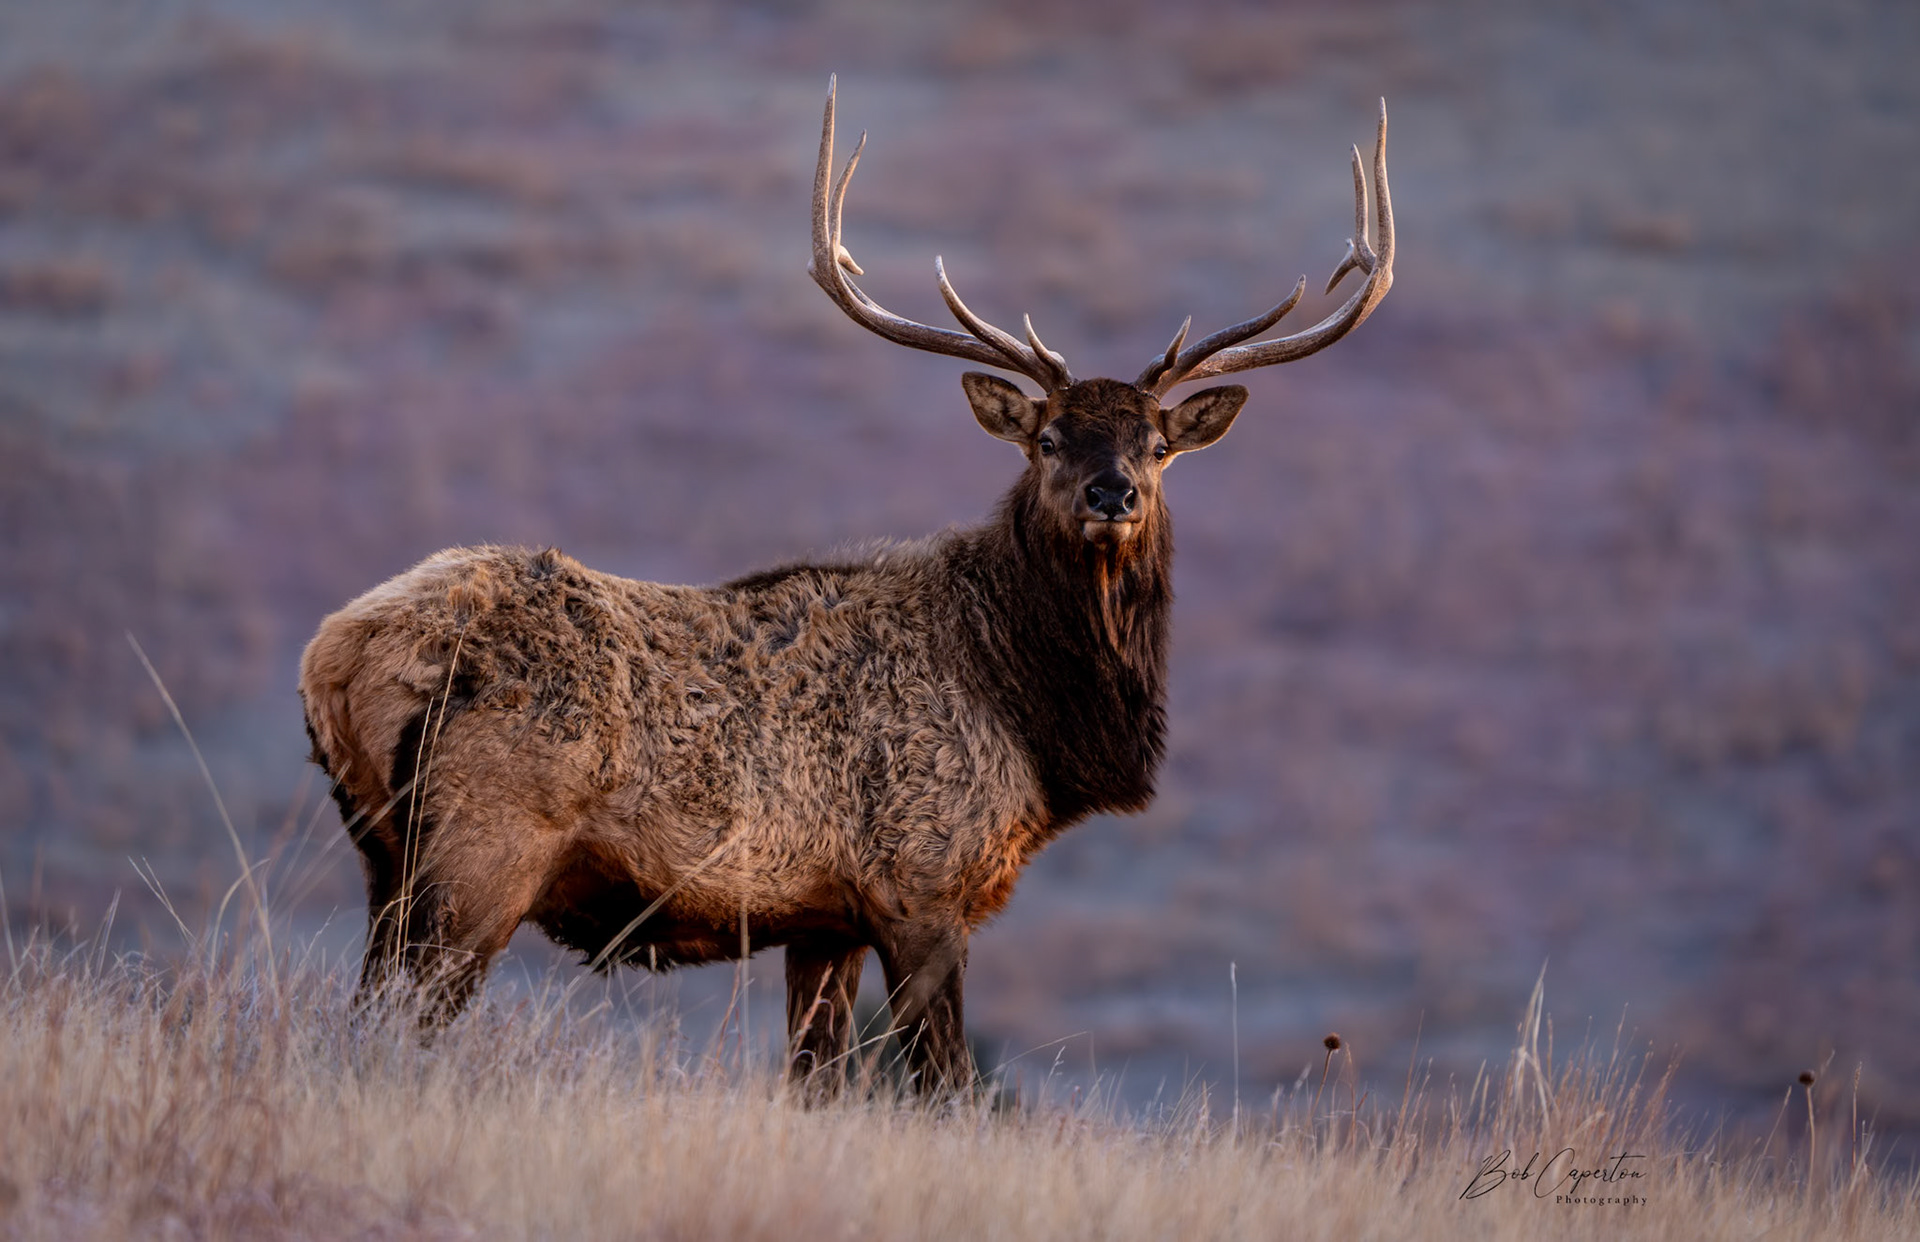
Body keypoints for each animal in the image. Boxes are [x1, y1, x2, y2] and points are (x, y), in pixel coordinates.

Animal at [298, 78, 1393, 1097]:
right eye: (1048, 438)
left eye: (1158, 445)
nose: (1112, 492)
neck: (1027, 716)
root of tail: (336, 654)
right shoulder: (922, 887)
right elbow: (947, 1091)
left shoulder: (822, 919)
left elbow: (813, 1086)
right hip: (480, 851)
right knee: (397, 1029)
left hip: (382, 855)